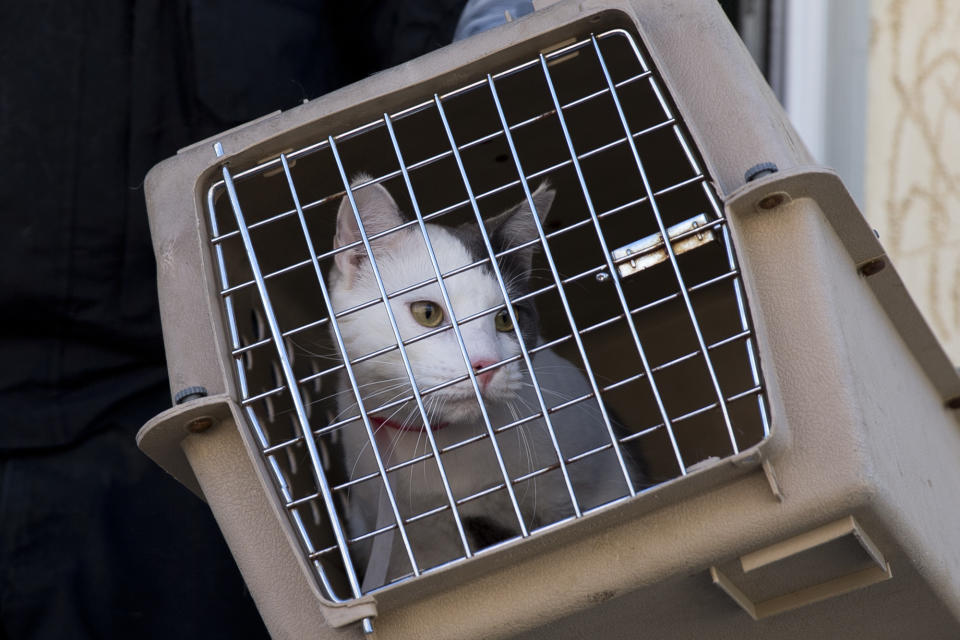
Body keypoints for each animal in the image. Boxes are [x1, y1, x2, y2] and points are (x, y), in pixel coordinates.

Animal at [326, 175, 640, 592]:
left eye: (507, 318)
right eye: (427, 313)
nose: (486, 364)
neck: (450, 446)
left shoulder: (588, 480)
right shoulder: (413, 547)